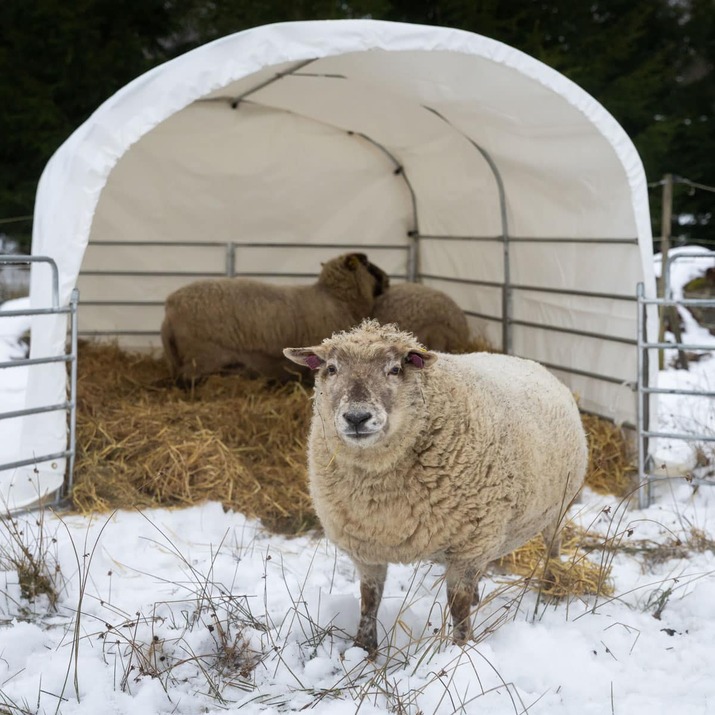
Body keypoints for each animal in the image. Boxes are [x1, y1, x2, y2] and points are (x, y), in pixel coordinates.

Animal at [161, 253, 389, 384]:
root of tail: (170, 305)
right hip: (201, 355)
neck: (336, 299)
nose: (388, 280)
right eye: (368, 265)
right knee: (187, 380)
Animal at [284, 319, 587, 655]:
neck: (380, 485)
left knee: (553, 545)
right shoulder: (367, 547)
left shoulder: (469, 545)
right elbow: (369, 599)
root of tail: (527, 362)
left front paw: (462, 648)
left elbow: (458, 606)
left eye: (395, 369)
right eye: (332, 368)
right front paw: (363, 650)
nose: (357, 417)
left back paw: (550, 583)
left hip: (559, 505)